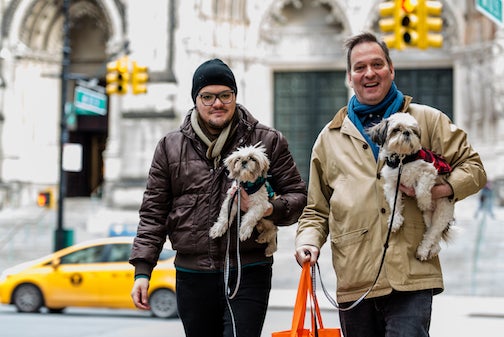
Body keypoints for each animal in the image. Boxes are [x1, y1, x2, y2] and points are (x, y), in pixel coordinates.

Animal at [368, 113, 454, 260]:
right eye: (396, 129)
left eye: (413, 131)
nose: (407, 132)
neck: (402, 160)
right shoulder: (392, 185)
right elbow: (394, 203)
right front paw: (395, 220)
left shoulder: (428, 171)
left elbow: (421, 190)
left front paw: (424, 202)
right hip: (428, 217)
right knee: (433, 234)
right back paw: (433, 249)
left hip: (443, 211)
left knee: (433, 232)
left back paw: (423, 251)